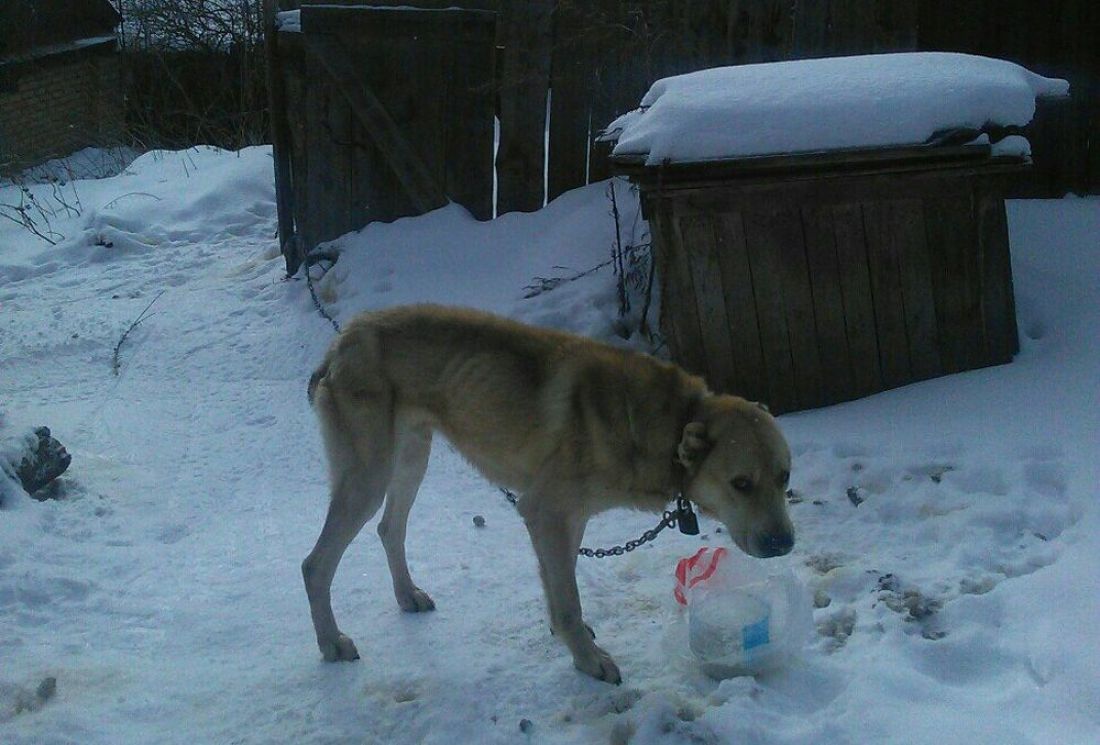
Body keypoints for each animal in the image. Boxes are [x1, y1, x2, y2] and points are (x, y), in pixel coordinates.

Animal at [305, 301, 796, 677]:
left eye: (784, 477)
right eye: (741, 484)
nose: (784, 544)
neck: (675, 423)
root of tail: (342, 340)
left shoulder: (568, 519)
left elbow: (562, 589)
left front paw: (569, 637)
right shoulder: (545, 512)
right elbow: (568, 600)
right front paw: (589, 660)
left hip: (410, 461)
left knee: (390, 529)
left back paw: (407, 595)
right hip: (368, 479)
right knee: (315, 565)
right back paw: (332, 642)